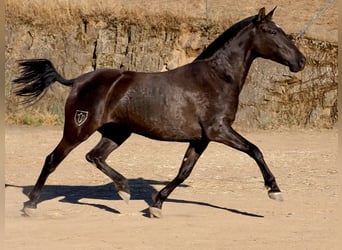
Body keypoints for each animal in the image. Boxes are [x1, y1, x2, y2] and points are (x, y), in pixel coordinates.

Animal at [12, 7, 304, 217]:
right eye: (272, 32)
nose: (300, 61)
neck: (217, 78)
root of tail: (78, 80)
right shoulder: (219, 130)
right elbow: (255, 150)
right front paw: (274, 191)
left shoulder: (201, 139)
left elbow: (184, 171)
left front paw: (156, 205)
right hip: (79, 128)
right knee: (53, 158)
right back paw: (30, 205)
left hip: (117, 133)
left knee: (94, 156)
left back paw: (124, 190)